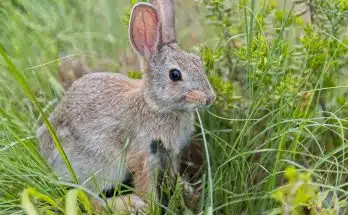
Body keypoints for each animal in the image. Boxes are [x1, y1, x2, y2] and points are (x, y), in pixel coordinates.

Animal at [36, 0, 215, 212]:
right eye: (175, 75)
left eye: (198, 62)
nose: (209, 98)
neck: (154, 105)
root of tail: (45, 154)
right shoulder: (143, 154)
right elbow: (146, 186)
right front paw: (151, 207)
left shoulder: (170, 155)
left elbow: (172, 177)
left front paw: (188, 191)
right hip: (101, 164)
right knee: (90, 199)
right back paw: (130, 204)